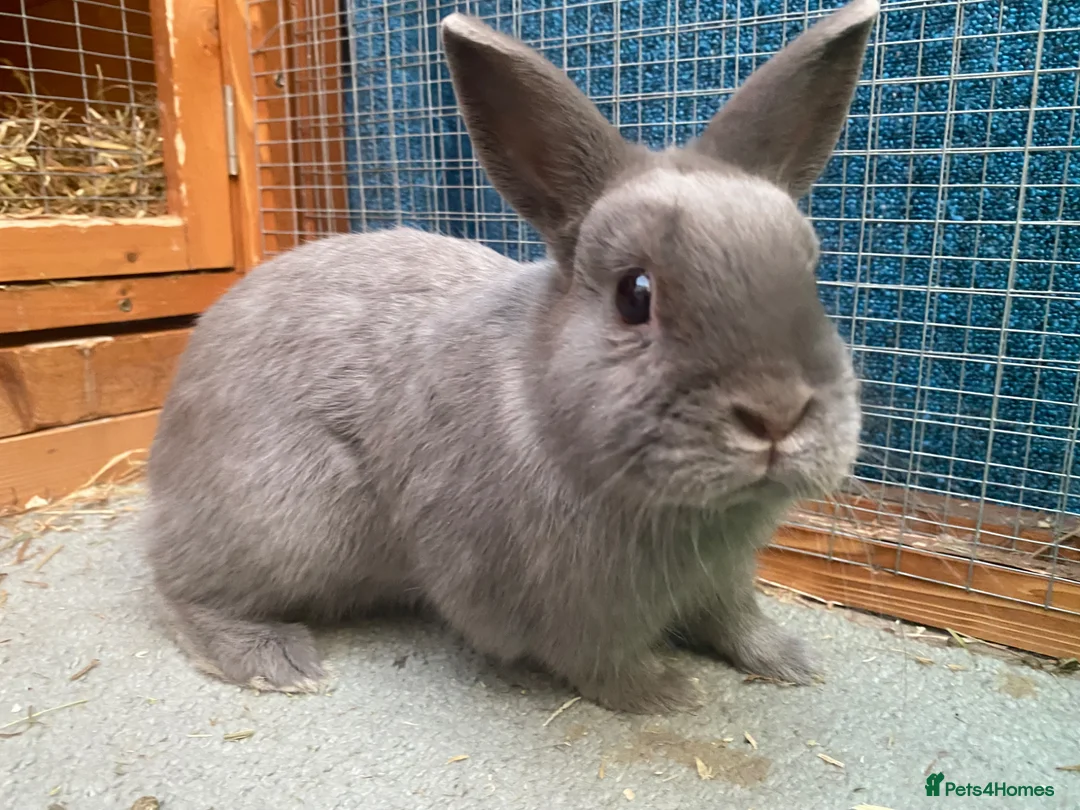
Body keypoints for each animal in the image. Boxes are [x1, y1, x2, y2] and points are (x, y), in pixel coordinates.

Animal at [143, 0, 876, 714]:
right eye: (633, 294)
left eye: (810, 272)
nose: (778, 413)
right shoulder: (576, 608)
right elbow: (604, 666)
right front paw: (670, 694)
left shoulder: (722, 577)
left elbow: (735, 619)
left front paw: (790, 660)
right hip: (289, 524)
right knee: (183, 592)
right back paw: (276, 660)